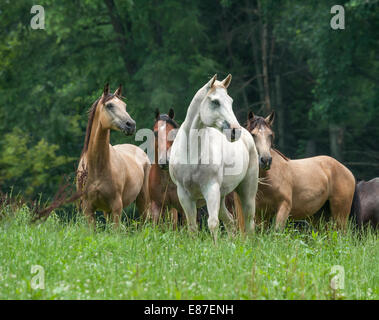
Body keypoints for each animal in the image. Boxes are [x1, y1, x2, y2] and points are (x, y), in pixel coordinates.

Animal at [76, 84, 151, 229]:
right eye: (110, 105)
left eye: (124, 105)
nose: (131, 125)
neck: (97, 167)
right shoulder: (88, 209)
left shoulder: (116, 207)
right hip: (107, 211)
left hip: (143, 199)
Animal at [170, 75, 262, 240]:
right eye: (215, 102)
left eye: (230, 101)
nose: (235, 131)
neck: (191, 152)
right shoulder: (184, 194)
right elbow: (192, 227)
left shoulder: (211, 188)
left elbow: (212, 223)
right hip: (222, 197)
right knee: (230, 221)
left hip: (247, 191)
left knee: (249, 222)